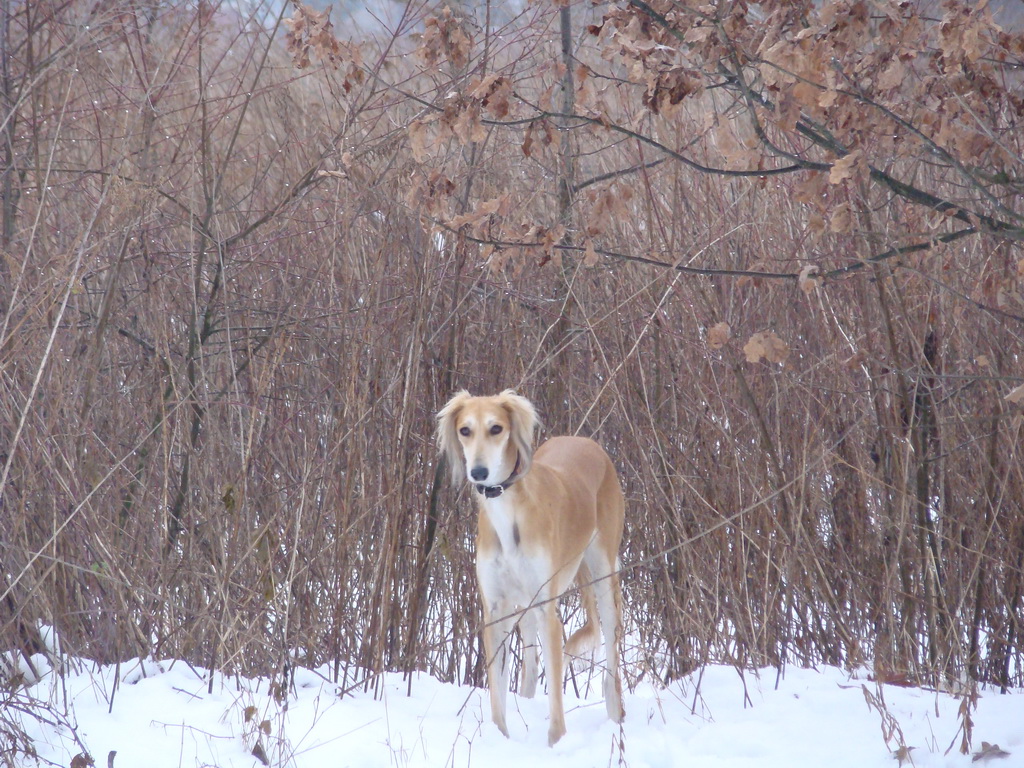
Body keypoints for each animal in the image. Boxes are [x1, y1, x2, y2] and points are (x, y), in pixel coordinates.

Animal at [434, 391, 622, 745]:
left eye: (496, 428)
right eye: (465, 430)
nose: (479, 472)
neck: (508, 512)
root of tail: (585, 442)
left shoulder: (548, 608)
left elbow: (557, 697)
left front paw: (556, 742)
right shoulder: (496, 610)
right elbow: (498, 689)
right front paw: (500, 736)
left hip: (604, 573)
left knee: (611, 657)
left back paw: (616, 716)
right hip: (525, 606)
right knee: (532, 666)